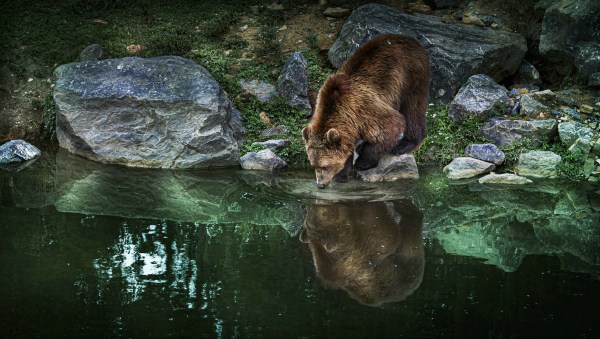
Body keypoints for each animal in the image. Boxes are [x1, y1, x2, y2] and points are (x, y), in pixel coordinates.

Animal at [302, 33, 428, 189]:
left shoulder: (363, 108)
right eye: (313, 165)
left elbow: (390, 126)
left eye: (325, 166)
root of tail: (409, 39)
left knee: (413, 107)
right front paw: (342, 173)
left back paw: (404, 144)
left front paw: (362, 163)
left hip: (409, 74)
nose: (320, 184)